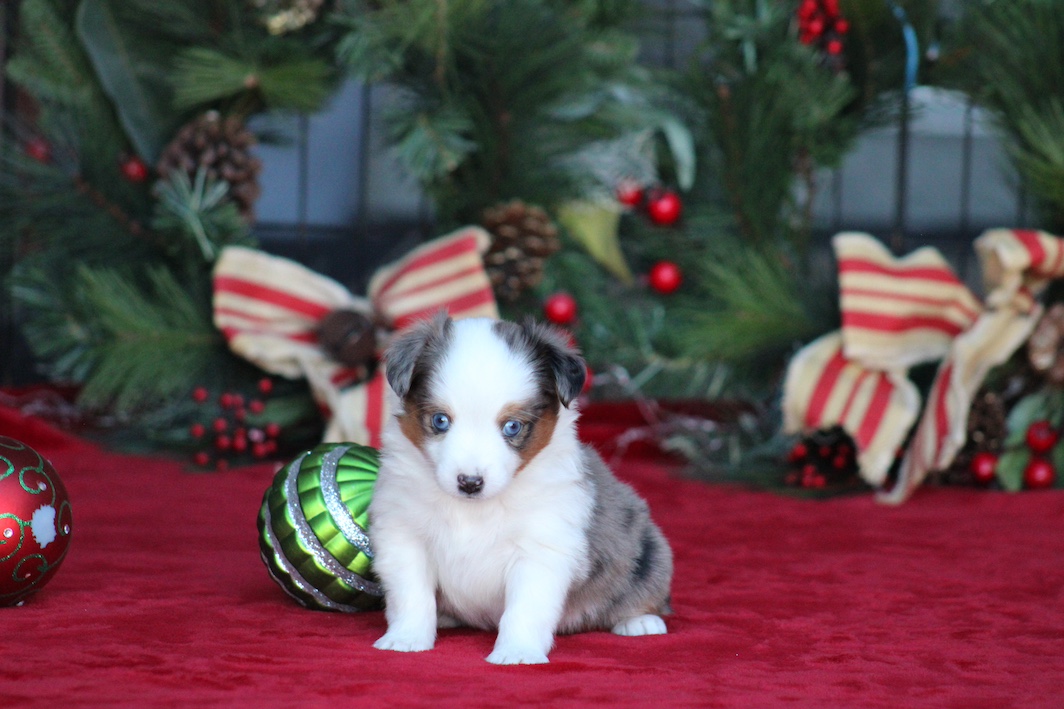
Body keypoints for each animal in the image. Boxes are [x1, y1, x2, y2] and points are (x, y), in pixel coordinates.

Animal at [369, 313, 673, 665]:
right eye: (440, 421)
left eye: (512, 426)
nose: (469, 483)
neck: (472, 510)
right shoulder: (404, 535)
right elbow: (411, 595)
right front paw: (406, 639)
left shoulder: (542, 548)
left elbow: (525, 608)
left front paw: (516, 652)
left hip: (650, 551)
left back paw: (640, 621)